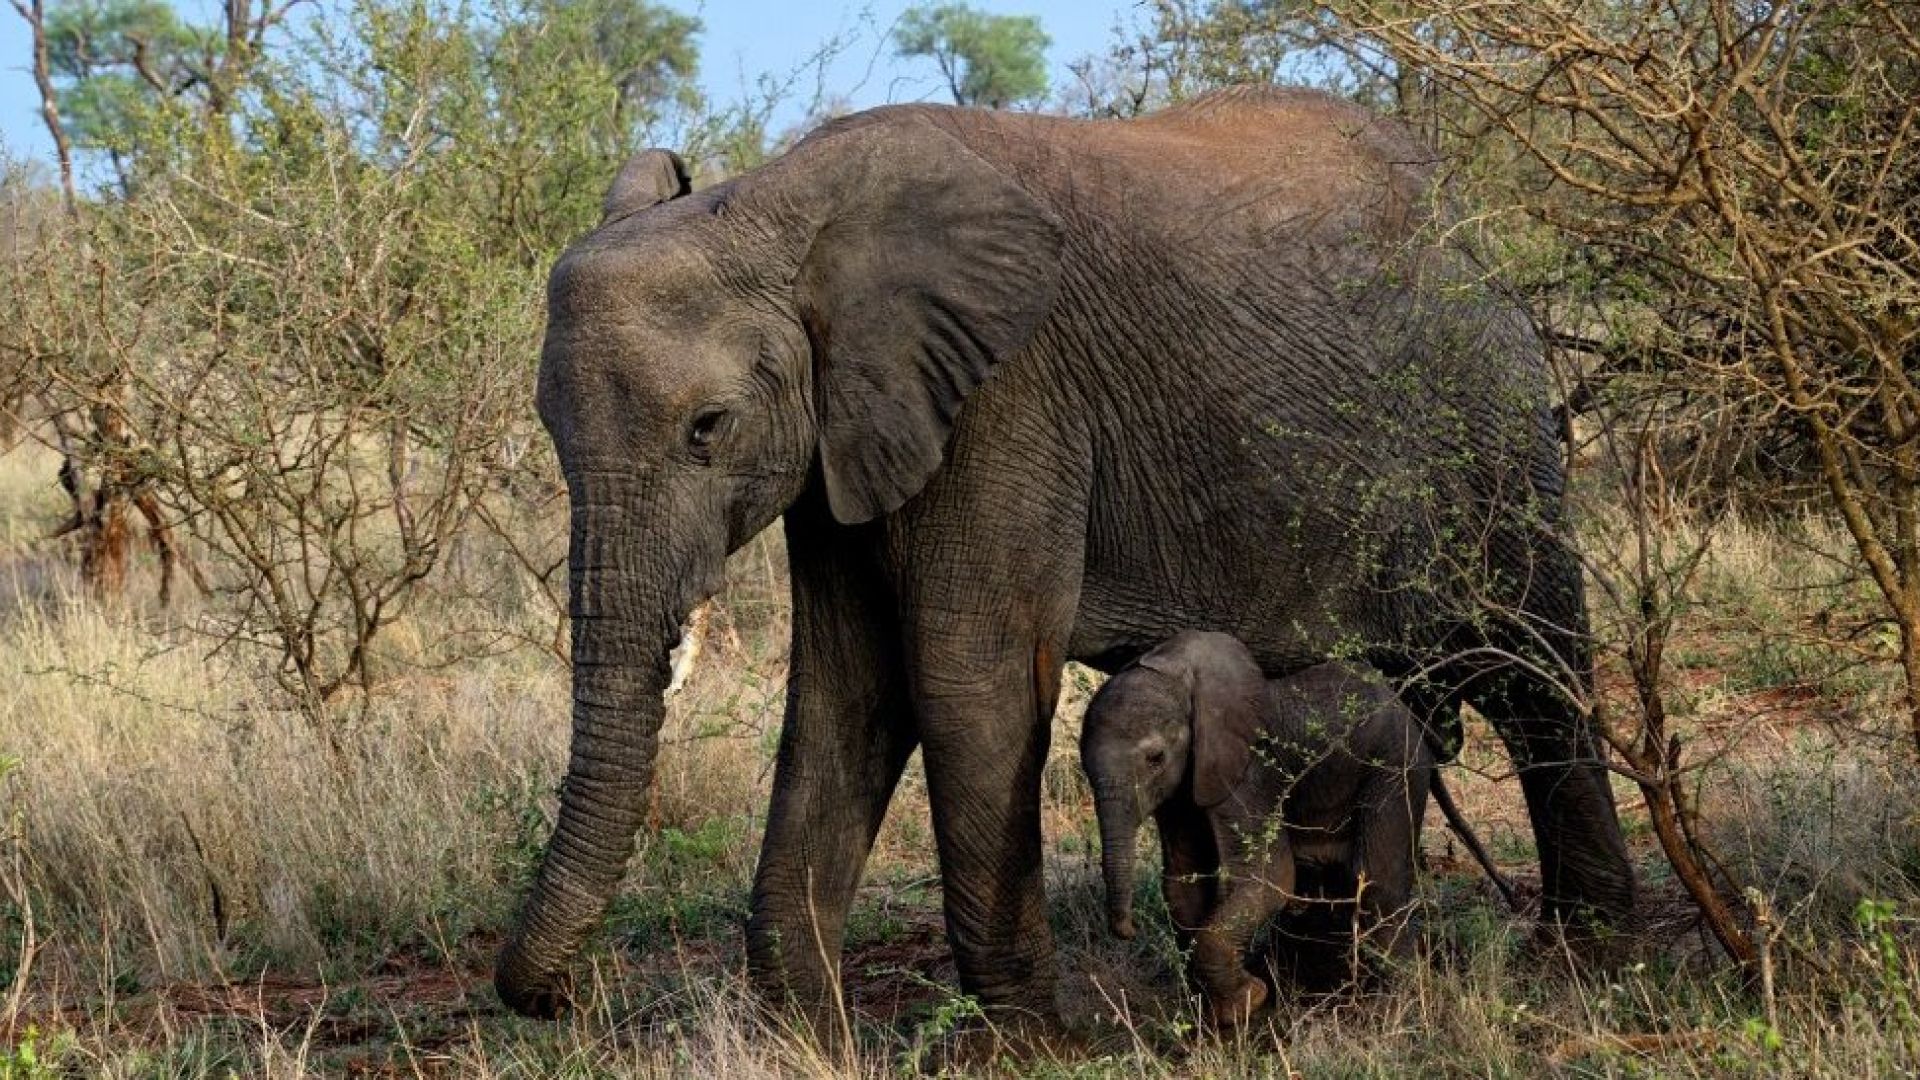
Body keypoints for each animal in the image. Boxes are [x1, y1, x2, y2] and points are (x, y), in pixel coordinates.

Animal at [1082, 626, 1428, 1022]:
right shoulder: (1181, 792)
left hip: (1395, 768)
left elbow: (1270, 877)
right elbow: (1184, 882)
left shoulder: (1248, 773)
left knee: (1377, 882)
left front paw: (1250, 998)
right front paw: (1223, 1010)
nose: (1128, 929)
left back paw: (1394, 1008)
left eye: (1156, 758)